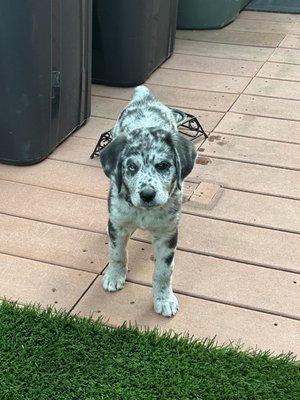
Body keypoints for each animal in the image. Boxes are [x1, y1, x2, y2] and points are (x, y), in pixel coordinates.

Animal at [99, 86, 197, 318]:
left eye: (163, 166)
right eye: (131, 167)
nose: (147, 194)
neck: (142, 213)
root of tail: (145, 98)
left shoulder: (167, 233)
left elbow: (164, 271)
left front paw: (164, 299)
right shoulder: (118, 222)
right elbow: (117, 253)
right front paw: (114, 276)